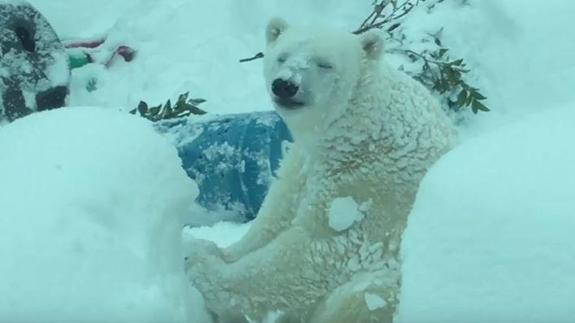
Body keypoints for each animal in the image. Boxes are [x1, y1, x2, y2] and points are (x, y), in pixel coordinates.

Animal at [187, 18, 456, 323]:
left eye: (325, 64)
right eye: (282, 56)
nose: (285, 85)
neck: (358, 125)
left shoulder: (369, 185)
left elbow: (318, 251)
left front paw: (199, 263)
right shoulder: (306, 161)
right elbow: (276, 214)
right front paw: (218, 249)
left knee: (361, 297)